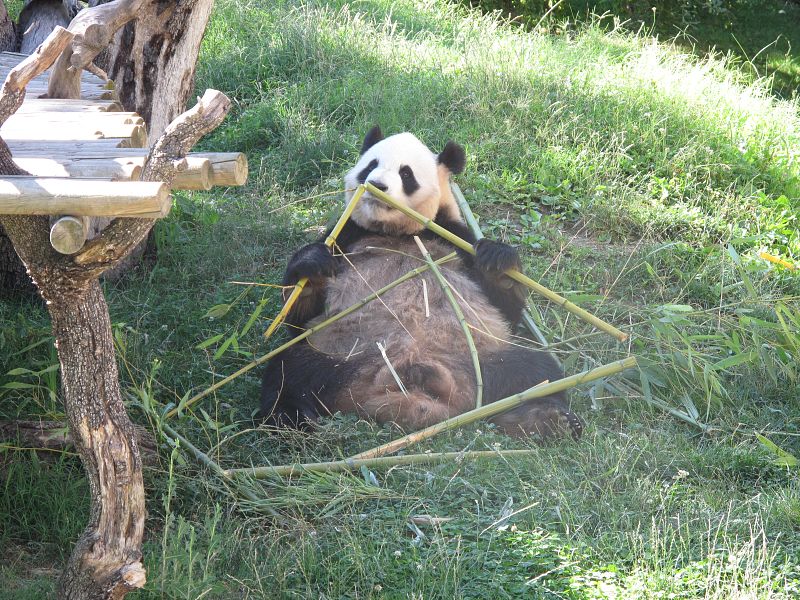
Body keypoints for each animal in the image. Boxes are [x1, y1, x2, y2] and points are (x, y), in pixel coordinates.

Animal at [259, 126, 583, 439]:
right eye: (370, 166)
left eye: (406, 174)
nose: (377, 185)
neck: (397, 231)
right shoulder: (345, 237)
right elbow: (299, 320)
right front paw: (312, 265)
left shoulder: (455, 238)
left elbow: (505, 311)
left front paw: (498, 261)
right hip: (340, 358)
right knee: (287, 372)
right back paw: (293, 420)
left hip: (480, 362)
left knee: (538, 372)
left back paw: (546, 419)